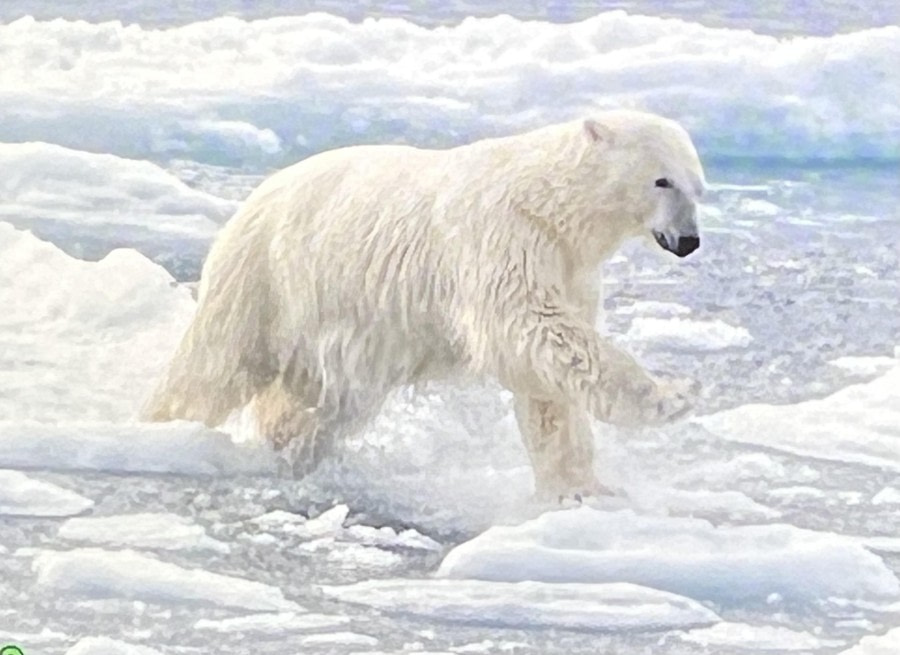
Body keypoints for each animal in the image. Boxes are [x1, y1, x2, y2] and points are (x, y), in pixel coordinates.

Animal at [143, 109, 706, 499]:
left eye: (697, 185)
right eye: (662, 180)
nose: (688, 240)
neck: (548, 206)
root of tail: (256, 194)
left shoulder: (570, 268)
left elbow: (545, 379)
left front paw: (583, 490)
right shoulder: (503, 240)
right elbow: (535, 330)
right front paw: (674, 395)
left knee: (325, 400)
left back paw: (293, 443)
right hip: (266, 278)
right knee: (214, 366)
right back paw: (162, 431)